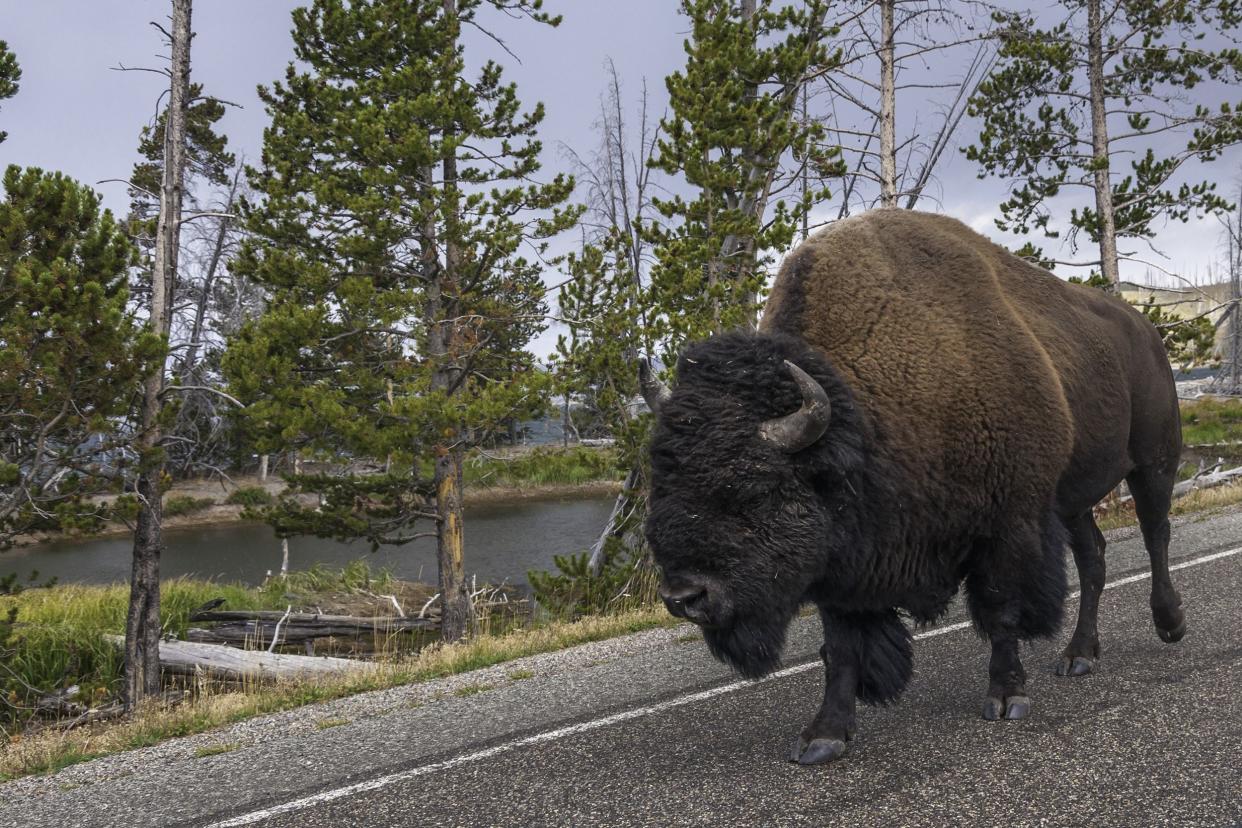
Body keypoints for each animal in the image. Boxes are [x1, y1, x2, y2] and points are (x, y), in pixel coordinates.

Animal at [645, 208, 1187, 764]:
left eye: (755, 487)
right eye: (660, 482)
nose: (683, 596)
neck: (864, 422)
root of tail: (1146, 329)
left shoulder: (1006, 527)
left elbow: (1002, 613)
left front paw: (1006, 697)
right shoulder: (847, 565)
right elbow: (841, 647)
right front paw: (824, 735)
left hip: (1154, 462)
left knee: (1155, 535)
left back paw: (1169, 624)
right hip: (1074, 500)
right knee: (1094, 558)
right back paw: (1078, 656)